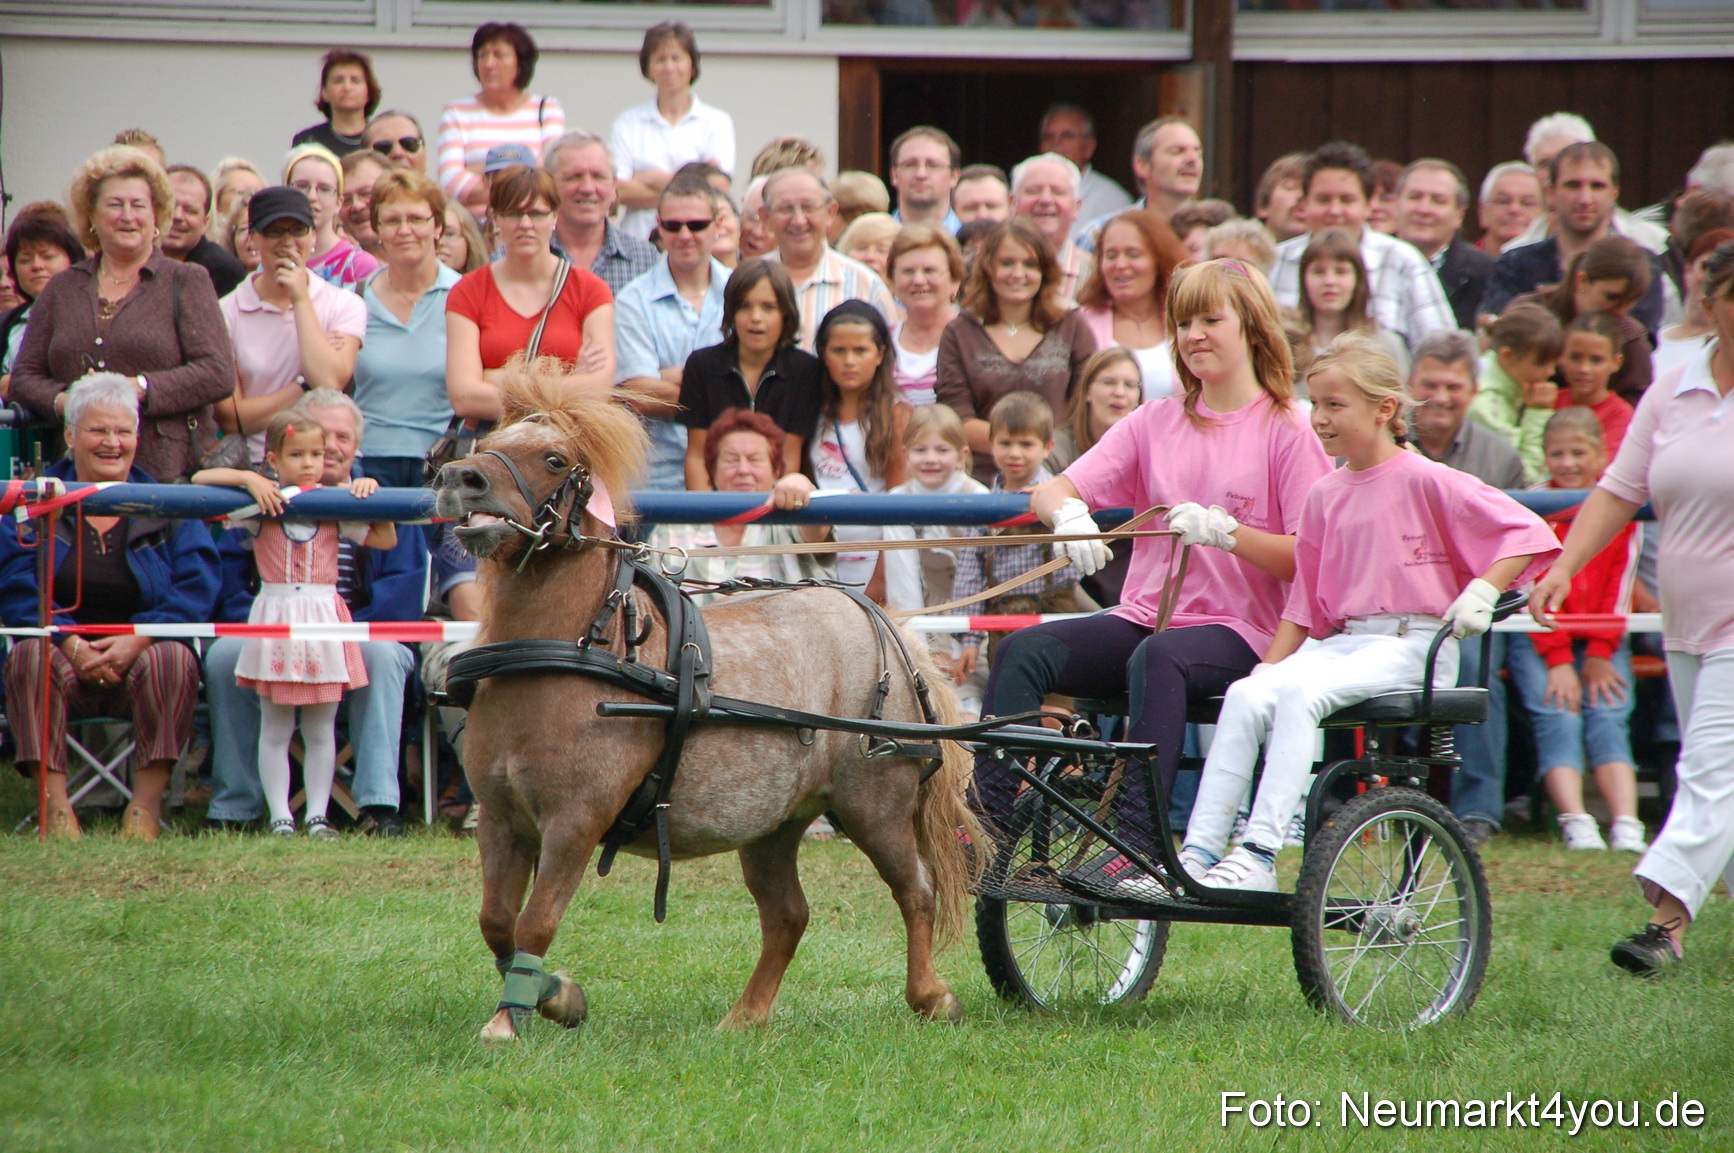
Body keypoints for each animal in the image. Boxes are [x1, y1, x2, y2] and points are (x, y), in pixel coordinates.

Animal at [432, 360, 986, 1042]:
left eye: (555, 458)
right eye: (487, 442)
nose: (459, 479)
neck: (565, 651)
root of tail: (879, 619)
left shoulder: (575, 820)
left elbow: (536, 921)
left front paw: (531, 1010)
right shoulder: (502, 818)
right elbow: (496, 923)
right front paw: (544, 999)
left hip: (874, 806)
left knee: (916, 890)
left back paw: (932, 996)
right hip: (775, 823)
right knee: (788, 915)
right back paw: (745, 1017)